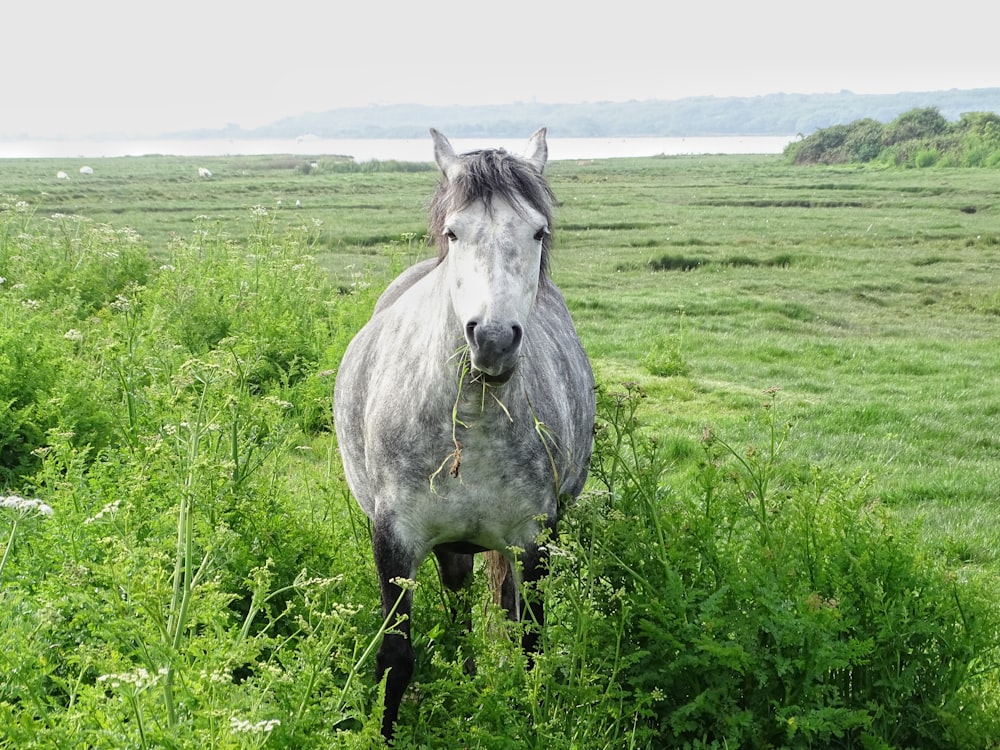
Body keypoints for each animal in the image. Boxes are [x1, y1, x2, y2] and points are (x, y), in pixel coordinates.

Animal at [332, 128, 596, 740]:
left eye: (538, 231)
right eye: (454, 231)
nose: (493, 340)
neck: (472, 425)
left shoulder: (533, 539)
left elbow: (530, 644)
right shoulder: (395, 538)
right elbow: (395, 658)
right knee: (457, 606)